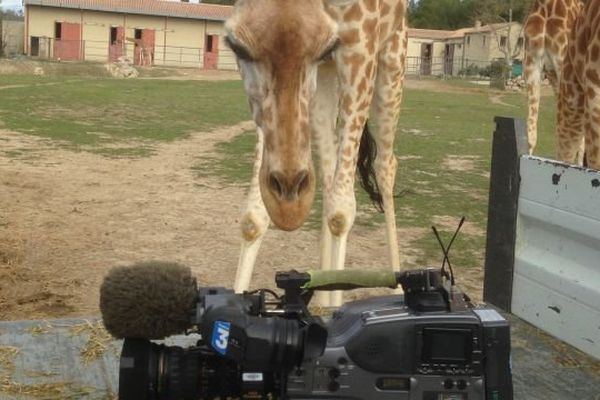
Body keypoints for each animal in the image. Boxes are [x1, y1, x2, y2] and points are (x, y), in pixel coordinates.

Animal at [225, 0, 408, 306]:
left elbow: (341, 212)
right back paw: (323, 297)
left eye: (324, 46)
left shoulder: (360, 46)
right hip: (326, 78)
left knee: (386, 165)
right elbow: (252, 217)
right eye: (237, 47)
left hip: (392, 58)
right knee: (329, 170)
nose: (290, 211)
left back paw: (397, 289)